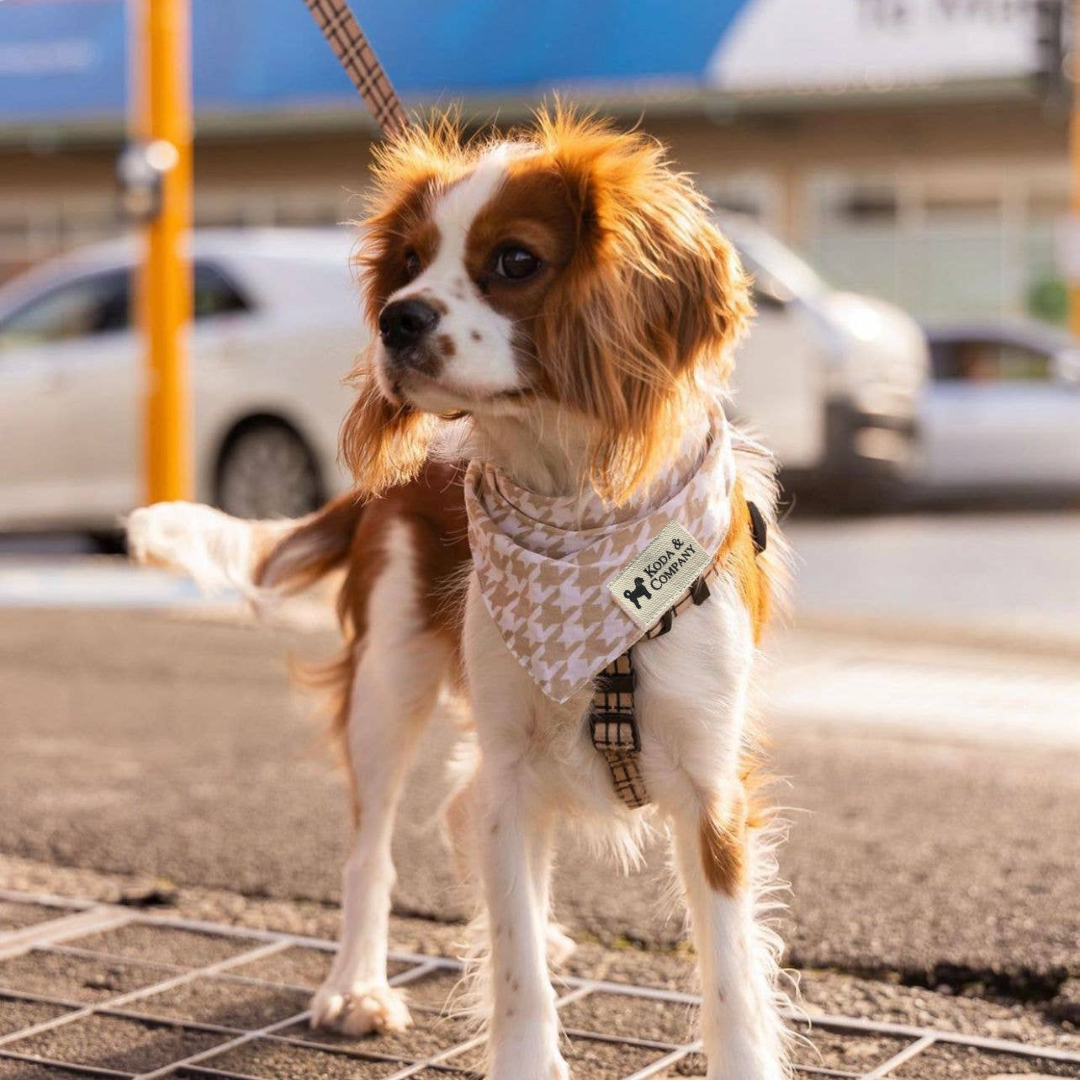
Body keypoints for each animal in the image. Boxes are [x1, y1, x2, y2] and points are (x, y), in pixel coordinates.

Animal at [130, 109, 794, 1080]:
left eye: (516, 261)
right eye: (407, 261)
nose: (394, 319)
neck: (580, 503)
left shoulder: (713, 794)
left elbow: (732, 978)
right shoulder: (512, 772)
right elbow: (511, 959)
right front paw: (521, 1037)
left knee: (454, 807)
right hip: (389, 684)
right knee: (375, 847)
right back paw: (355, 988)